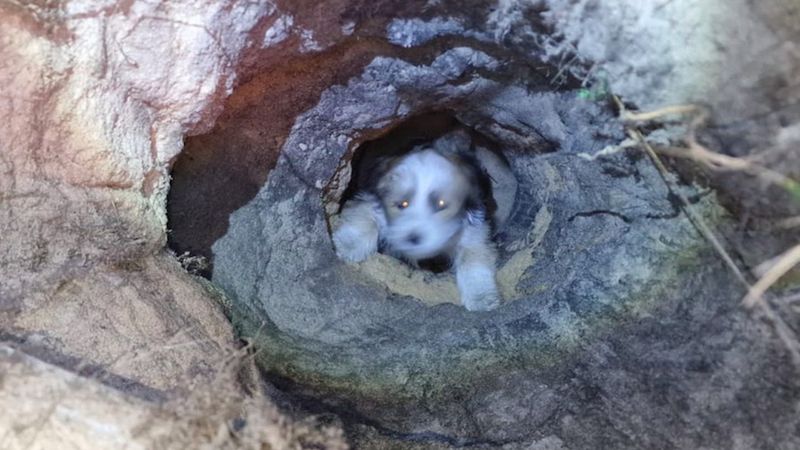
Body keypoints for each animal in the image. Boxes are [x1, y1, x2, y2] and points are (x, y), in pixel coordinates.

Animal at [332, 139, 500, 312]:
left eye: (441, 204)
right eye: (403, 204)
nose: (413, 238)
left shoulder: (475, 233)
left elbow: (473, 261)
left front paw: (480, 297)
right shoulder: (369, 200)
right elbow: (365, 218)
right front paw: (349, 245)